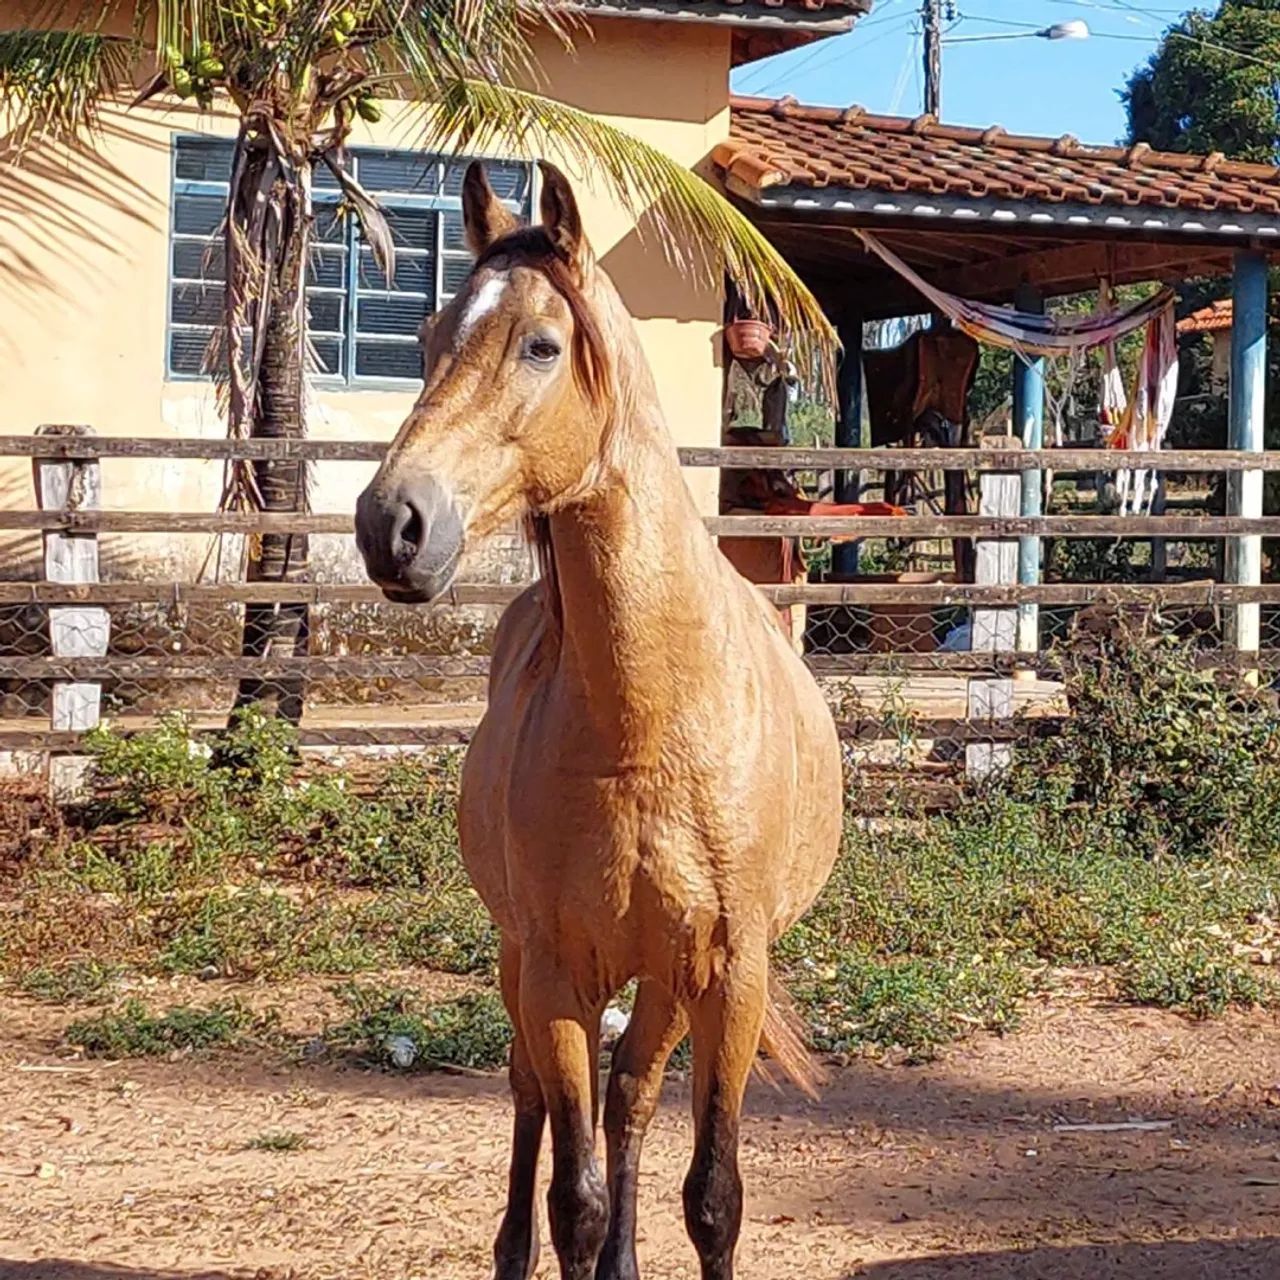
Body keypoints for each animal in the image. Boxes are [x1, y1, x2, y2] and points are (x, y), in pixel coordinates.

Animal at [355, 160, 843, 1280]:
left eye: (540, 344)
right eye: (427, 339)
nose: (391, 524)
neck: (649, 727)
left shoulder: (728, 974)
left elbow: (711, 1195)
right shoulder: (553, 972)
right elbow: (570, 1194)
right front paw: (564, 1240)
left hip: (660, 981)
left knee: (630, 1097)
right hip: (524, 965)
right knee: (531, 1094)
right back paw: (511, 1249)